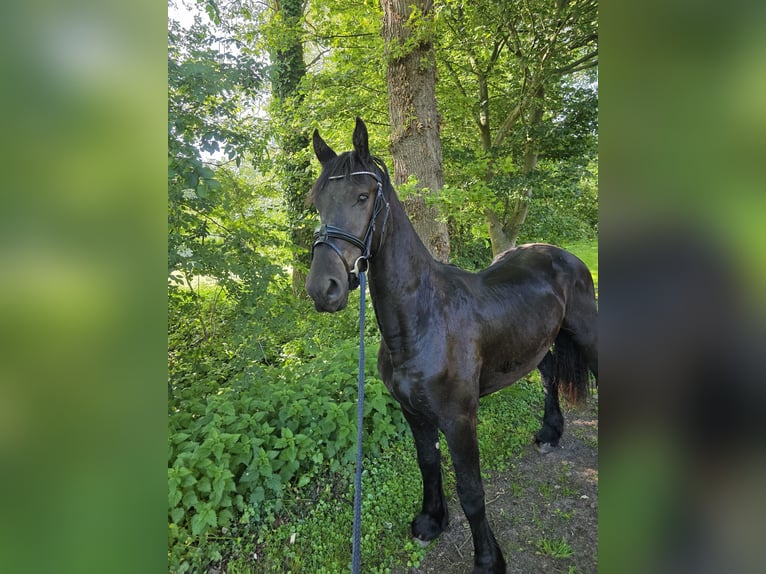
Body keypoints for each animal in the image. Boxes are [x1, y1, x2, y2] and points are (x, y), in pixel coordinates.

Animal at [305, 118, 598, 574]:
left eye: (363, 196)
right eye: (318, 201)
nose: (324, 288)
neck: (423, 320)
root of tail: (561, 253)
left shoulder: (460, 419)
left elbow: (471, 489)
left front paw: (488, 560)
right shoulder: (413, 412)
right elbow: (428, 464)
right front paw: (431, 520)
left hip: (587, 331)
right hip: (537, 344)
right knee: (550, 375)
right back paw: (550, 432)